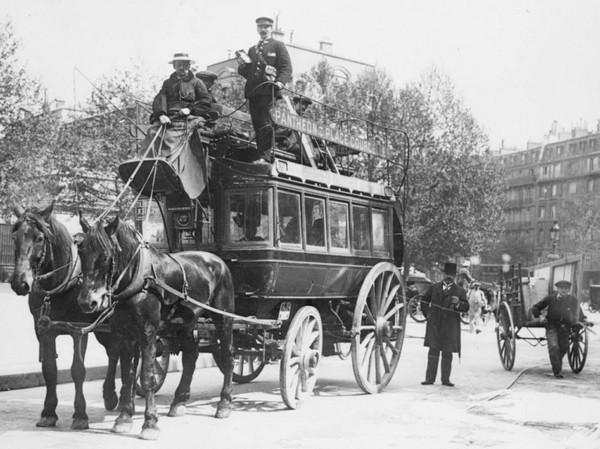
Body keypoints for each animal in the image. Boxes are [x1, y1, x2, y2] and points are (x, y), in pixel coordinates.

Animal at [9, 203, 120, 428]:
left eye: (39, 238)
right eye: (14, 237)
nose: (19, 283)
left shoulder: (78, 329)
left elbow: (78, 370)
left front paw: (80, 414)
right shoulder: (44, 329)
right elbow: (49, 369)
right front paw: (48, 411)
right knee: (114, 352)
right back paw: (110, 394)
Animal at [75, 215, 234, 440]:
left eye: (105, 256)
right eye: (81, 252)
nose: (87, 302)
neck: (137, 279)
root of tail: (218, 261)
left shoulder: (148, 332)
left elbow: (146, 377)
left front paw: (149, 422)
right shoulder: (125, 334)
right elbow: (127, 376)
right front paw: (124, 418)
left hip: (223, 318)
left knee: (228, 356)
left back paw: (224, 403)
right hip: (186, 323)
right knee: (191, 356)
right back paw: (179, 401)